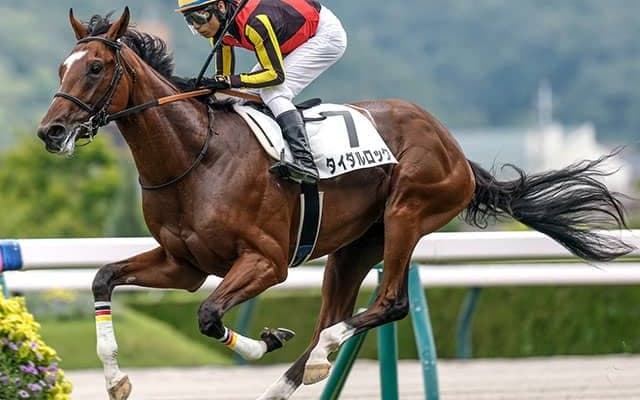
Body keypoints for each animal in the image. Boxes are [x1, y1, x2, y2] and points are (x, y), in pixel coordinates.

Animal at [36, 7, 633, 400]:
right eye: (61, 67)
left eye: (94, 68)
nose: (51, 131)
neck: (196, 156)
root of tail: (458, 150)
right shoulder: (182, 264)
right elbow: (103, 279)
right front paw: (116, 378)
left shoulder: (266, 262)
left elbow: (207, 316)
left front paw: (265, 340)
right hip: (353, 248)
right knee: (335, 313)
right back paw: (290, 381)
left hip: (407, 213)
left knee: (385, 305)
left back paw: (322, 355)